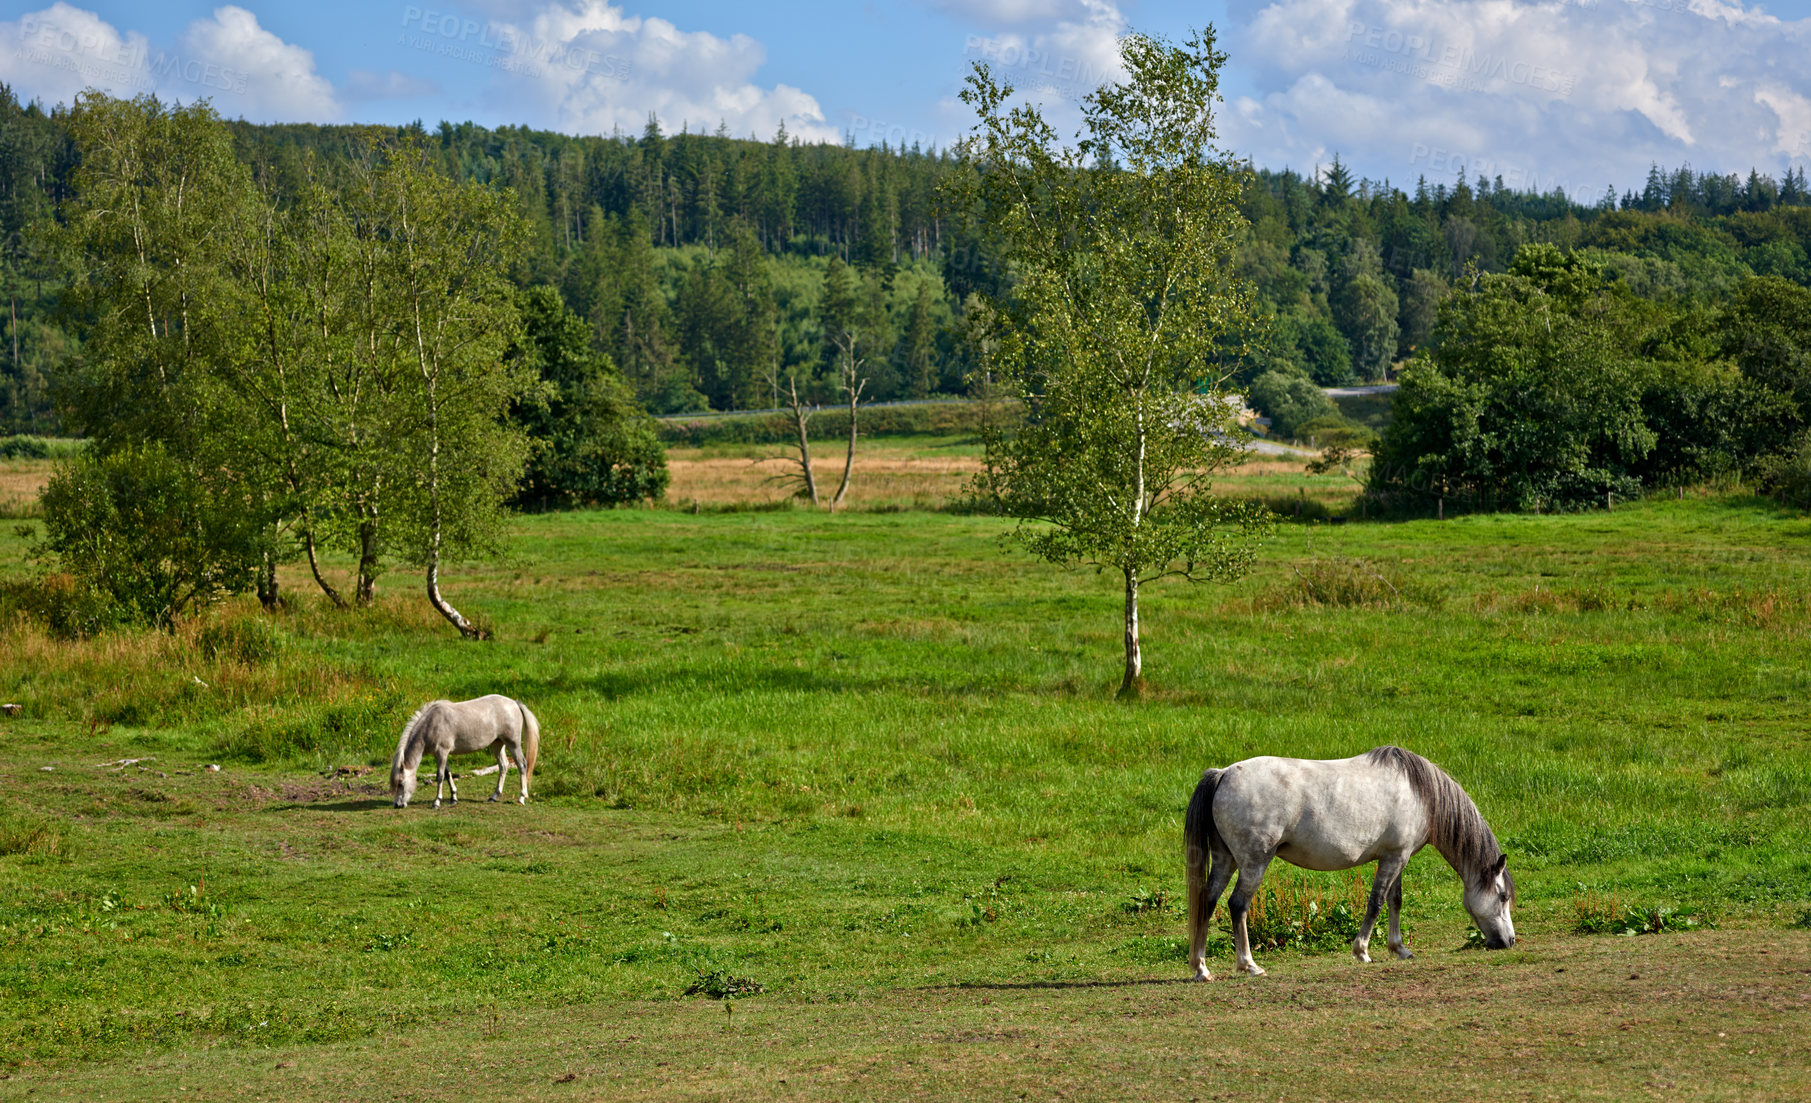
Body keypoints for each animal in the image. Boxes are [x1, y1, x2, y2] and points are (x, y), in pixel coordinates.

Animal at [389, 695, 539, 809]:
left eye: (401, 783)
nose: (397, 805)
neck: (431, 724)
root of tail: (514, 703)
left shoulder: (442, 753)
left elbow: (440, 776)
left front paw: (436, 802)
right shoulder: (442, 755)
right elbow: (448, 774)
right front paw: (453, 798)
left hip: (513, 744)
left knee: (522, 765)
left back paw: (521, 797)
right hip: (497, 744)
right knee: (504, 766)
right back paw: (494, 796)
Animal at [1184, 745, 1516, 980]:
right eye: (1502, 896)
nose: (1509, 941)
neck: (1420, 794)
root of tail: (1224, 774)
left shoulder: (1395, 857)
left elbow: (1395, 900)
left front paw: (1399, 949)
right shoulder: (1395, 858)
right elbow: (1377, 902)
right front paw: (1362, 951)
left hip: (1226, 860)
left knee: (1208, 901)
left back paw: (1201, 968)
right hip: (1254, 863)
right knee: (1237, 905)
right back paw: (1249, 965)